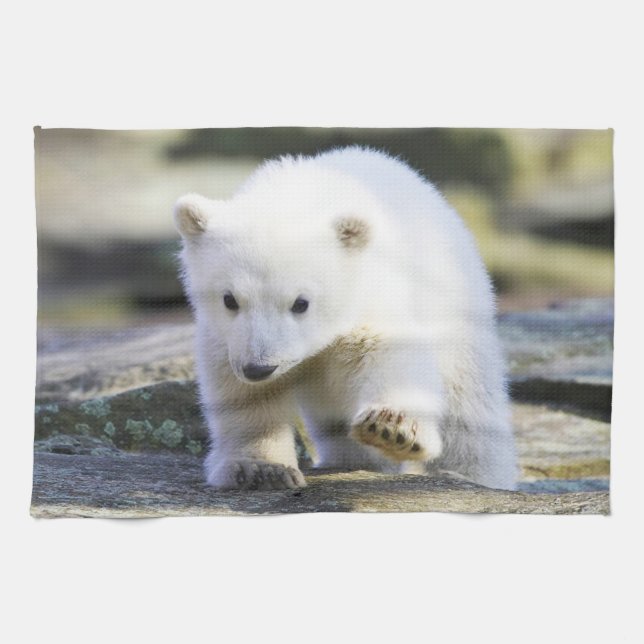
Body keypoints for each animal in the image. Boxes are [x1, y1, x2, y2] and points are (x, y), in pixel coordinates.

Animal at [174, 146, 518, 491]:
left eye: (301, 303)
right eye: (230, 299)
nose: (259, 368)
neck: (295, 196)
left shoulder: (369, 294)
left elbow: (389, 352)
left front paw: (392, 429)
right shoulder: (226, 337)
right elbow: (244, 395)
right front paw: (261, 468)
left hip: (455, 303)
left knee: (469, 405)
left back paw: (472, 474)